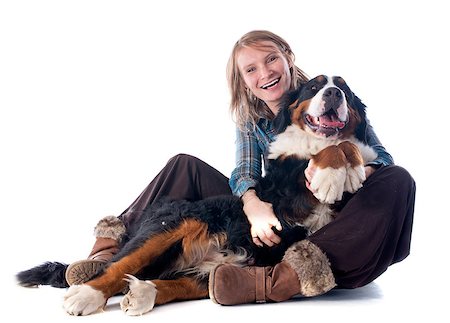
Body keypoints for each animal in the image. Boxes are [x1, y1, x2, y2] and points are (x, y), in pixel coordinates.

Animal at [16, 75, 376, 316]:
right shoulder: (285, 193)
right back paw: (85, 295)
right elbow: (330, 152)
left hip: (215, 267)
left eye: (344, 89)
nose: (334, 93)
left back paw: (142, 293)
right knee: (117, 267)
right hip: (171, 225)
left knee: (173, 283)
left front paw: (347, 168)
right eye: (314, 88)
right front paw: (330, 175)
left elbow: (350, 147)